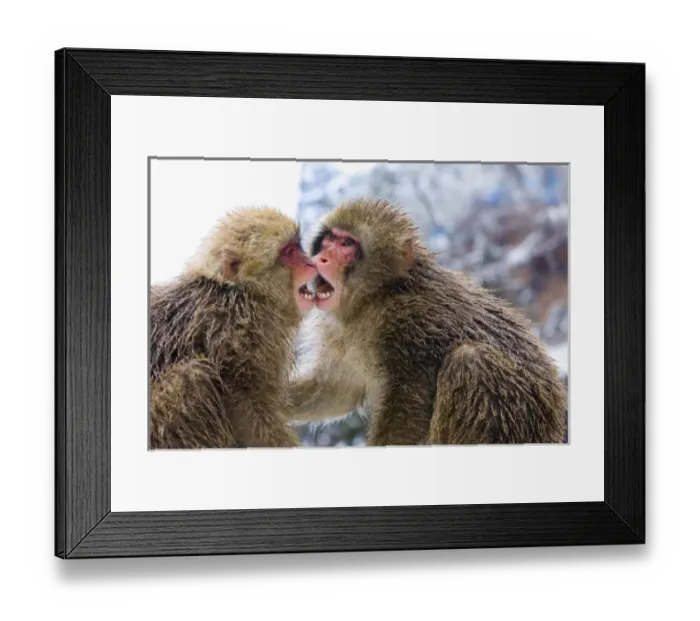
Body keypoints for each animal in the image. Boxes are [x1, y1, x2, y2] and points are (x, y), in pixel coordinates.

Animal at [149, 206, 318, 449]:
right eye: (288, 252)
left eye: (297, 246)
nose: (311, 263)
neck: (242, 293)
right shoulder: (241, 332)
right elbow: (247, 406)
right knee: (192, 377)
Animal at [288, 198, 568, 446]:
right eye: (328, 239)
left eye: (347, 243)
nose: (322, 257)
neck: (376, 298)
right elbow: (336, 391)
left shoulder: (410, 323)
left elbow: (408, 407)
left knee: (470, 360)